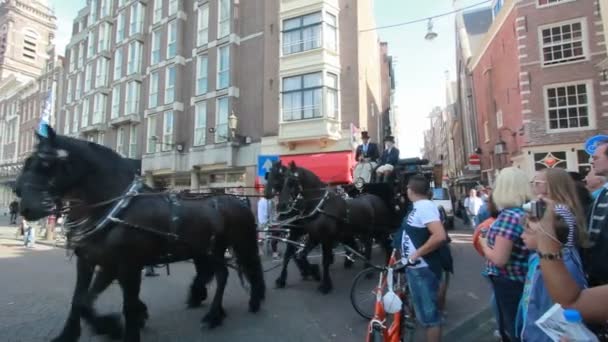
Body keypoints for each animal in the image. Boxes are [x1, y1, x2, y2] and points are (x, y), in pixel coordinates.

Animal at [15, 127, 264, 340]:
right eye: (28, 162)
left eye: (46, 162)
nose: (23, 205)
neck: (115, 207)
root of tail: (237, 200)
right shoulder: (93, 261)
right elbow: (81, 300)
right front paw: (77, 332)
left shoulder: (128, 265)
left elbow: (126, 305)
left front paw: (119, 327)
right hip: (209, 251)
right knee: (220, 273)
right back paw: (213, 310)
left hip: (230, 246)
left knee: (235, 272)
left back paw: (222, 312)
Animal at [264, 161, 394, 294]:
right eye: (282, 180)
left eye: (291, 181)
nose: (281, 205)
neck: (319, 206)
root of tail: (376, 198)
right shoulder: (310, 236)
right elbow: (296, 255)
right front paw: (311, 273)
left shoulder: (324, 238)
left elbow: (323, 261)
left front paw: (325, 284)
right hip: (360, 233)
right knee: (364, 247)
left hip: (379, 232)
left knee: (385, 246)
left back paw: (385, 268)